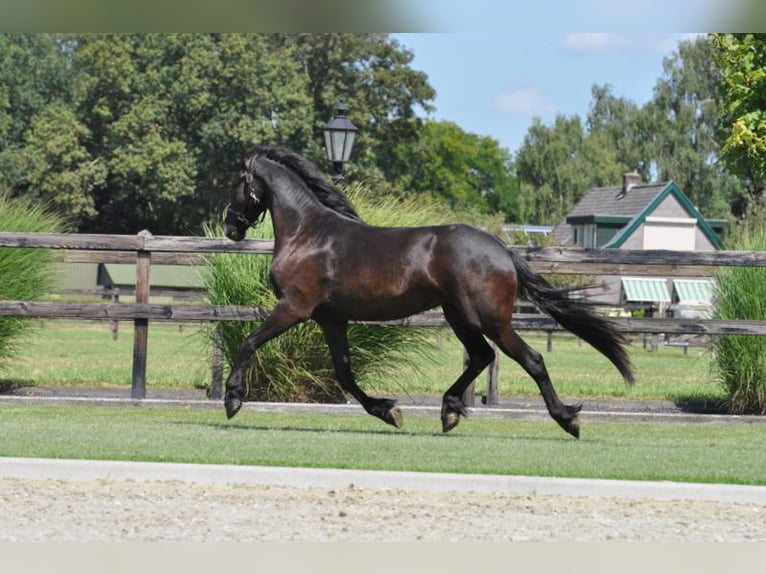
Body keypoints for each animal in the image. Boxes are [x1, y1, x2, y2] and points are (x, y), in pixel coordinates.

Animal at [224, 146, 636, 438]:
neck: (309, 233)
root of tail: (502, 250)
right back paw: (450, 410)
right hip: (459, 316)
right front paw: (388, 411)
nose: (230, 227)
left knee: (529, 359)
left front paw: (232, 399)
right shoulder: (331, 319)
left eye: (237, 180)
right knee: (482, 356)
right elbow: (344, 374)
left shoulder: (294, 307)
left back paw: (567, 419)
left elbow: (248, 342)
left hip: (489, 319)